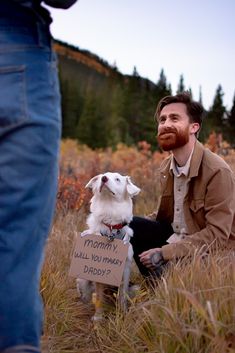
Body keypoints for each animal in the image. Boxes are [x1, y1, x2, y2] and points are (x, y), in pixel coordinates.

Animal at [76, 170, 140, 320]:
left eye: (117, 179)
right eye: (101, 176)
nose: (104, 179)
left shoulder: (125, 268)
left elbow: (122, 294)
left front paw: (123, 314)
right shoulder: (99, 273)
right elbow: (99, 296)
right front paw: (98, 317)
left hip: (135, 288)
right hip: (82, 280)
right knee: (87, 295)